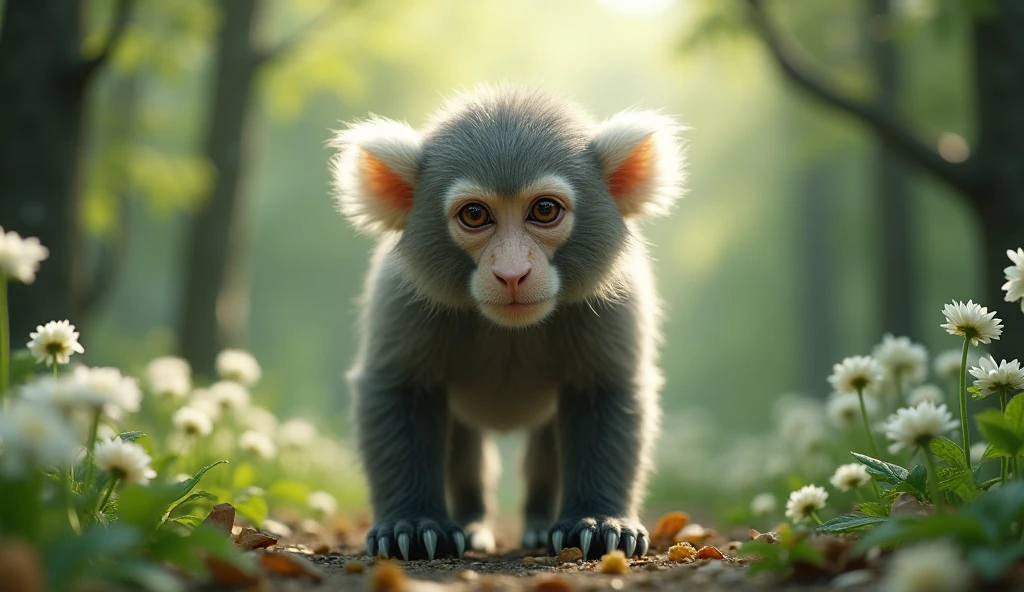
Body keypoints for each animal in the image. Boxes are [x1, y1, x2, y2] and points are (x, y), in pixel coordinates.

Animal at [329, 85, 684, 561]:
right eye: (475, 214)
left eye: (545, 209)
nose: (512, 274)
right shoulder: (403, 297)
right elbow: (398, 391)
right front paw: (413, 526)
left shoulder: (615, 301)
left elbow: (606, 393)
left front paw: (599, 524)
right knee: (467, 457)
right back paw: (472, 523)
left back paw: (536, 525)